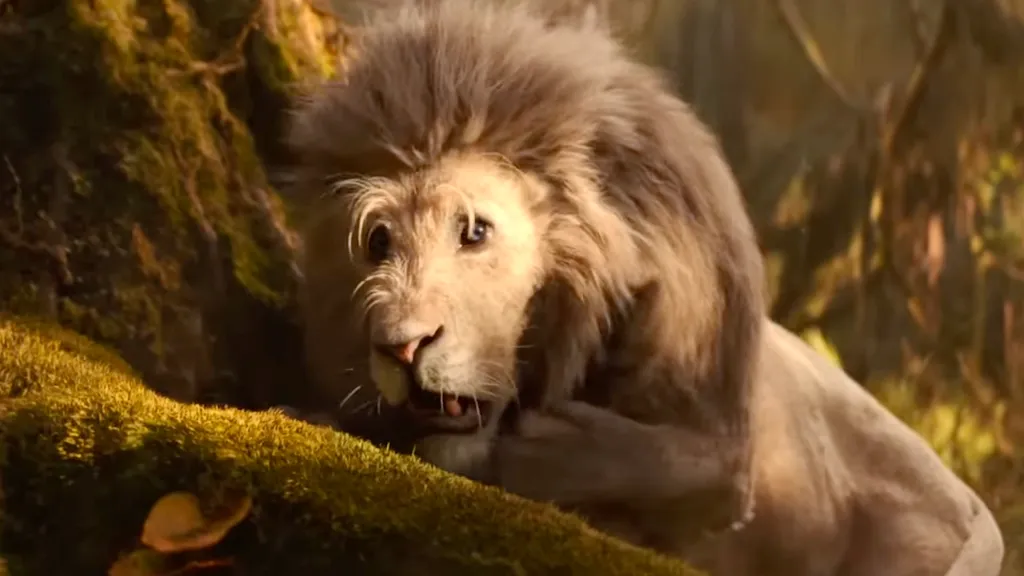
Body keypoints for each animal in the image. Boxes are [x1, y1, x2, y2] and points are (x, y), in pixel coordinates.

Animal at [285, 1, 1005, 574]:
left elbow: (677, 468)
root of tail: (975, 504)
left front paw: (550, 452)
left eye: (475, 230)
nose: (402, 348)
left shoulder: (720, 422)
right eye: (378, 242)